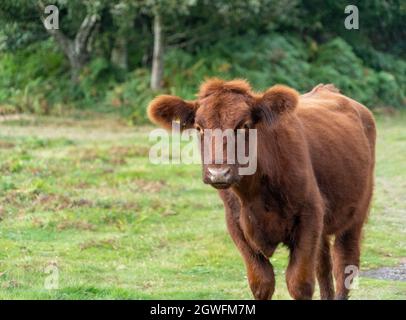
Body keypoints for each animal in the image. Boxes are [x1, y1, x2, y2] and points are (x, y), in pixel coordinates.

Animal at [147, 79, 376, 298]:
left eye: (244, 125)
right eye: (199, 128)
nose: (218, 173)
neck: (254, 194)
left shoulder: (309, 216)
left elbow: (299, 283)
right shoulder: (236, 224)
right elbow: (261, 283)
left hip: (356, 214)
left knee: (345, 264)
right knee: (323, 265)